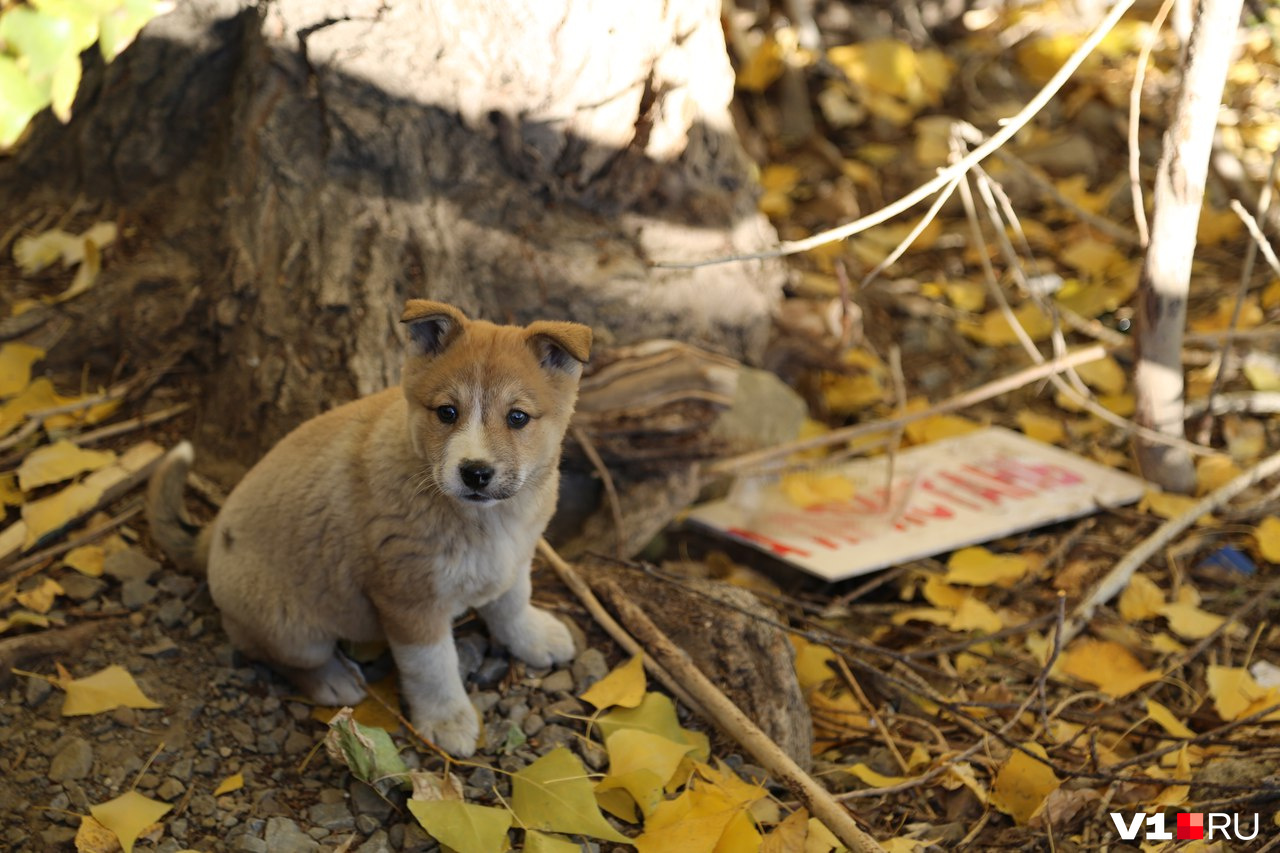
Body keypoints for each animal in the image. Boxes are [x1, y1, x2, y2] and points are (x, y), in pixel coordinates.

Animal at [148, 298, 588, 753]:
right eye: (447, 412)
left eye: (517, 417)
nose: (476, 472)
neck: (484, 519)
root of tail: (213, 531)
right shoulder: (409, 602)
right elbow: (433, 666)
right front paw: (446, 719)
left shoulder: (515, 560)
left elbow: (513, 604)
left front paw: (534, 637)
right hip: (293, 630)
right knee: (275, 654)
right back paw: (332, 680)